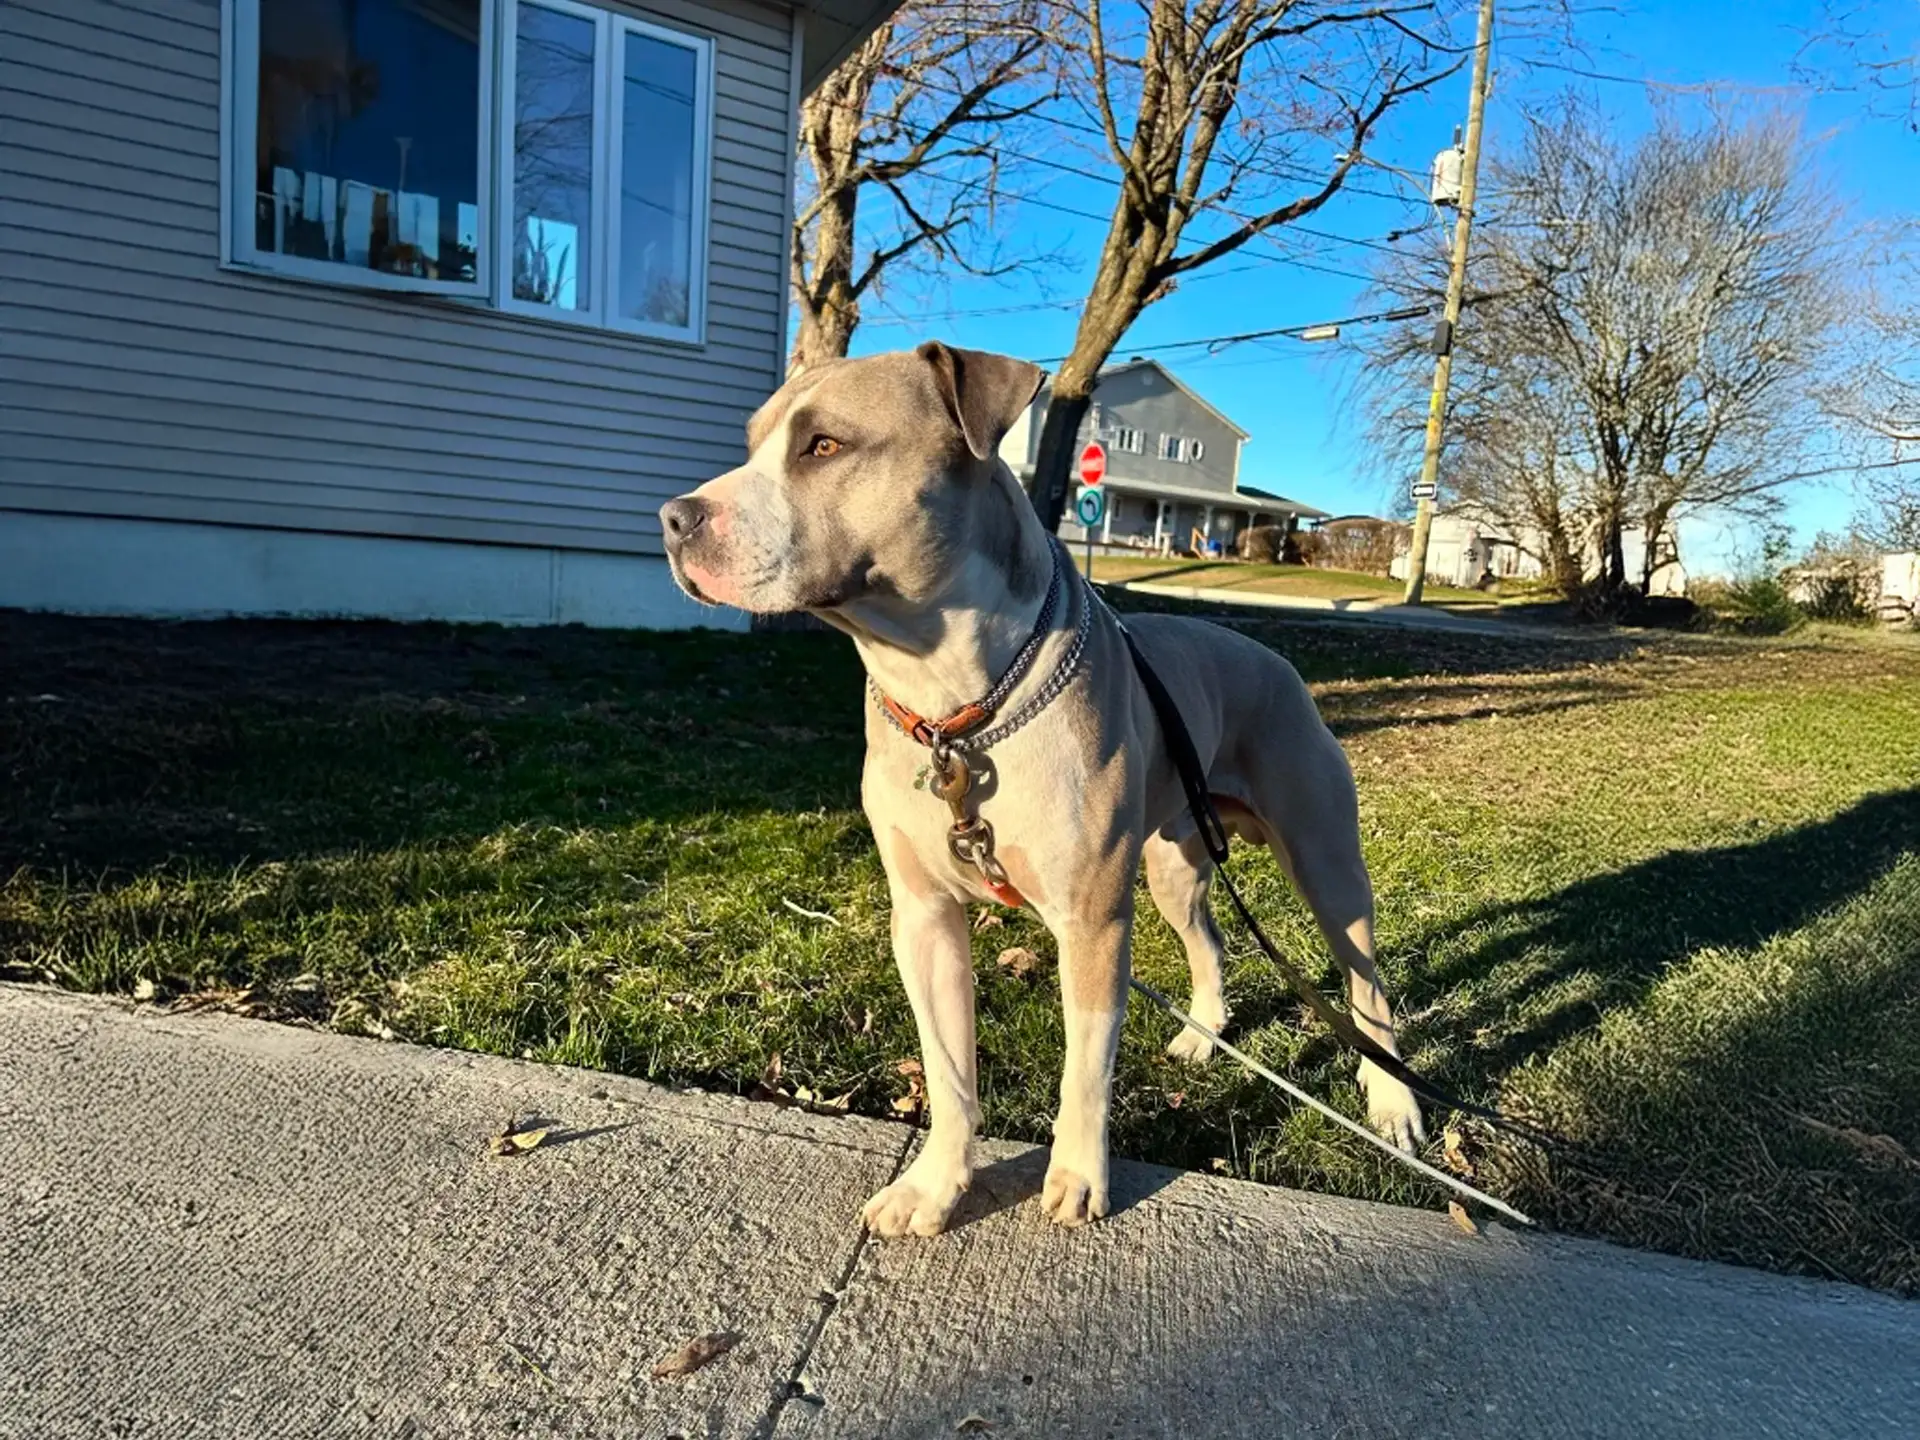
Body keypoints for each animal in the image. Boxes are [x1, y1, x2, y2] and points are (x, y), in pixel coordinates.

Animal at [660, 343, 1428, 1236]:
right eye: (753, 444)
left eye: (824, 445)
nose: (673, 518)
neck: (954, 701)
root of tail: (1273, 658)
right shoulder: (924, 916)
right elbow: (948, 1069)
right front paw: (936, 1186)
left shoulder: (1091, 922)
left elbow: (1085, 1064)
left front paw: (1078, 1178)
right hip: (1171, 867)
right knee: (1211, 941)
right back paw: (1203, 1038)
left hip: (1325, 862)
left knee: (1367, 988)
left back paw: (1394, 1107)